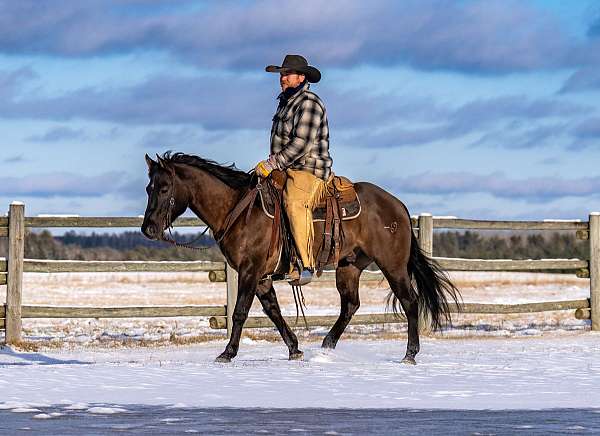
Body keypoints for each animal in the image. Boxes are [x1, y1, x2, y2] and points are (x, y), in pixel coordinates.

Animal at [141, 153, 460, 364]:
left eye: (164, 188)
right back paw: (327, 345)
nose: (148, 229)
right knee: (351, 305)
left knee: (410, 302)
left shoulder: (249, 271)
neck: (239, 210)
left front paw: (227, 353)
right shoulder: (261, 277)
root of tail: (399, 206)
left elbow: (240, 312)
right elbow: (274, 311)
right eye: (148, 188)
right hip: (349, 266)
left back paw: (409, 354)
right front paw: (294, 349)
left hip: (392, 266)